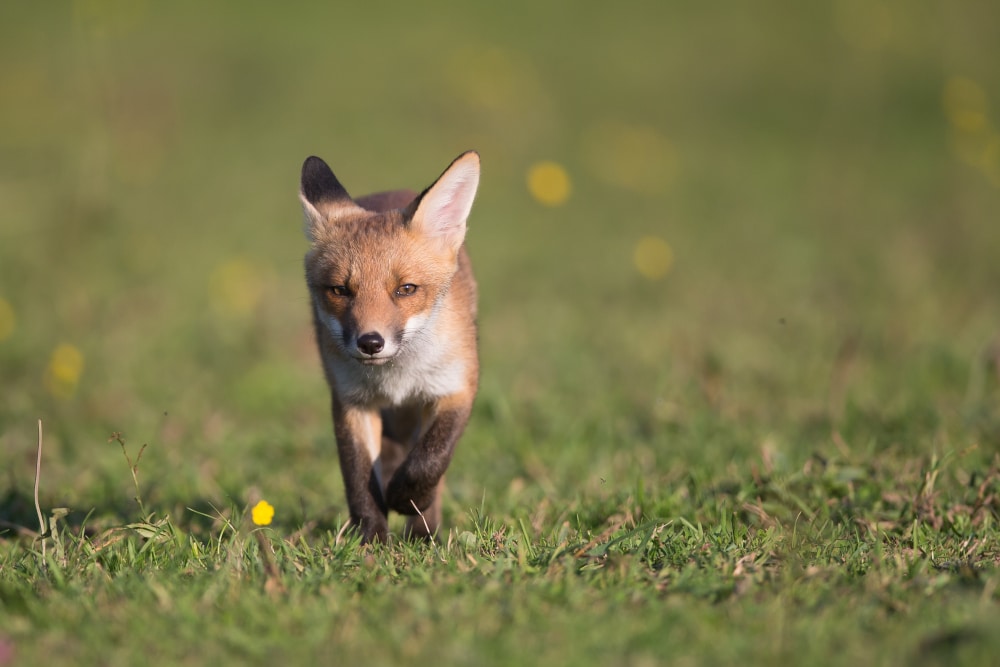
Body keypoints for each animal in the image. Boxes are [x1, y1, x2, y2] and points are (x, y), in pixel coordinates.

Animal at [299, 151, 481, 544]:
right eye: (340, 290)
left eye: (406, 289)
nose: (370, 342)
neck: (398, 378)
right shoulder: (351, 401)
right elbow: (359, 480)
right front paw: (371, 541)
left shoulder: (456, 388)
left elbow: (429, 461)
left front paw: (408, 500)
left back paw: (424, 532)